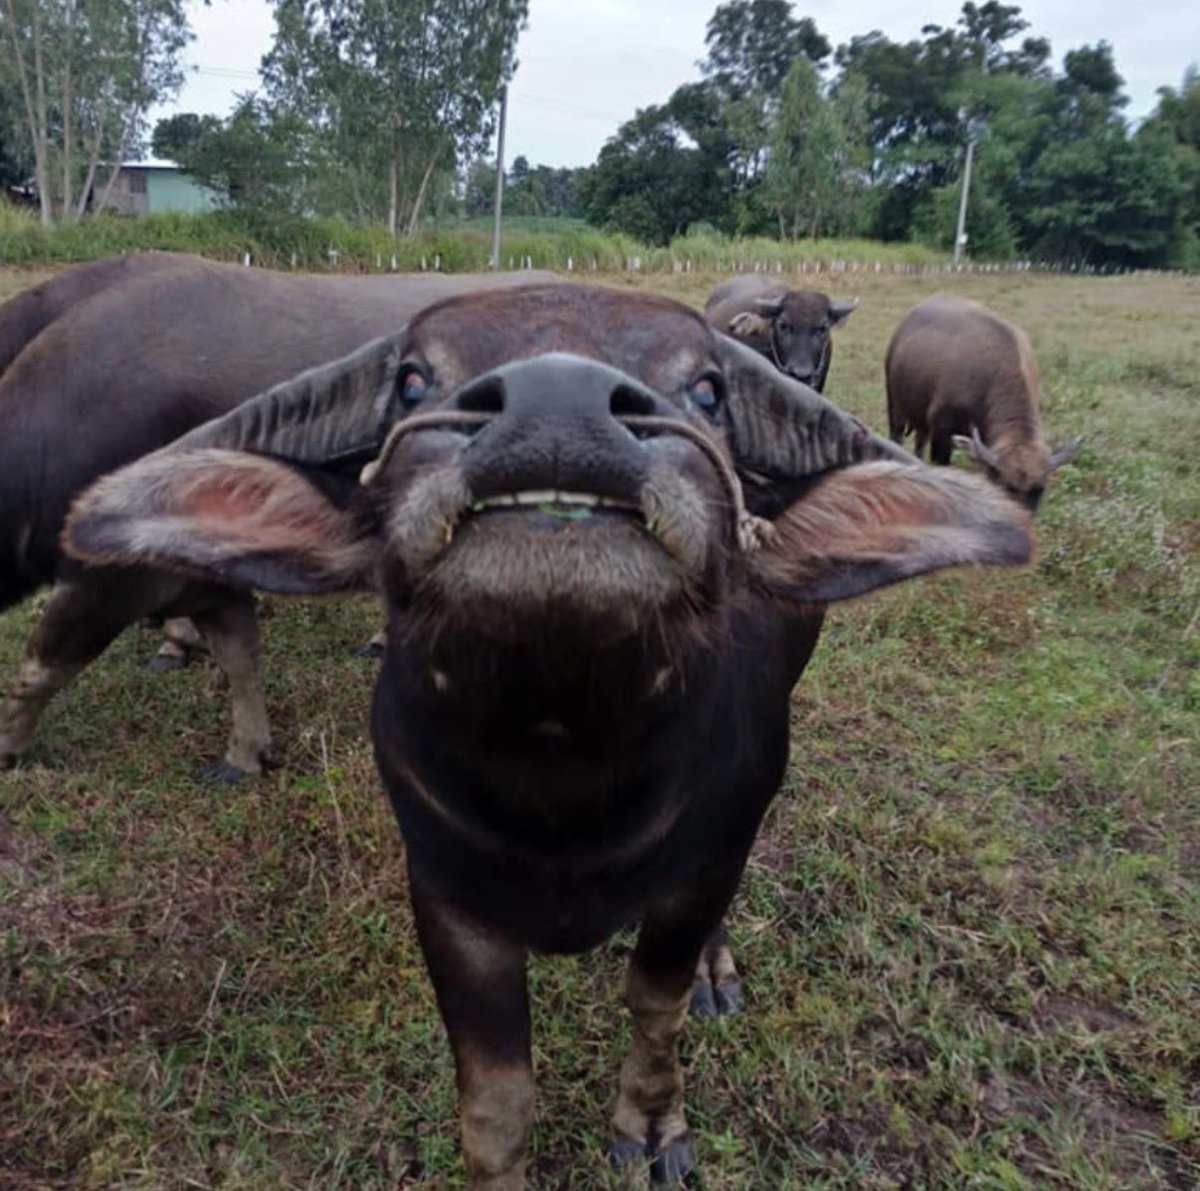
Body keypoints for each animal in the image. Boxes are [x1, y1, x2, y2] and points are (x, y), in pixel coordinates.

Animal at [0, 255, 553, 779]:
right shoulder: (206, 576)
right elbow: (239, 655)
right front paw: (244, 750)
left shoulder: (107, 580)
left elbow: (40, 667)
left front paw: (8, 746)